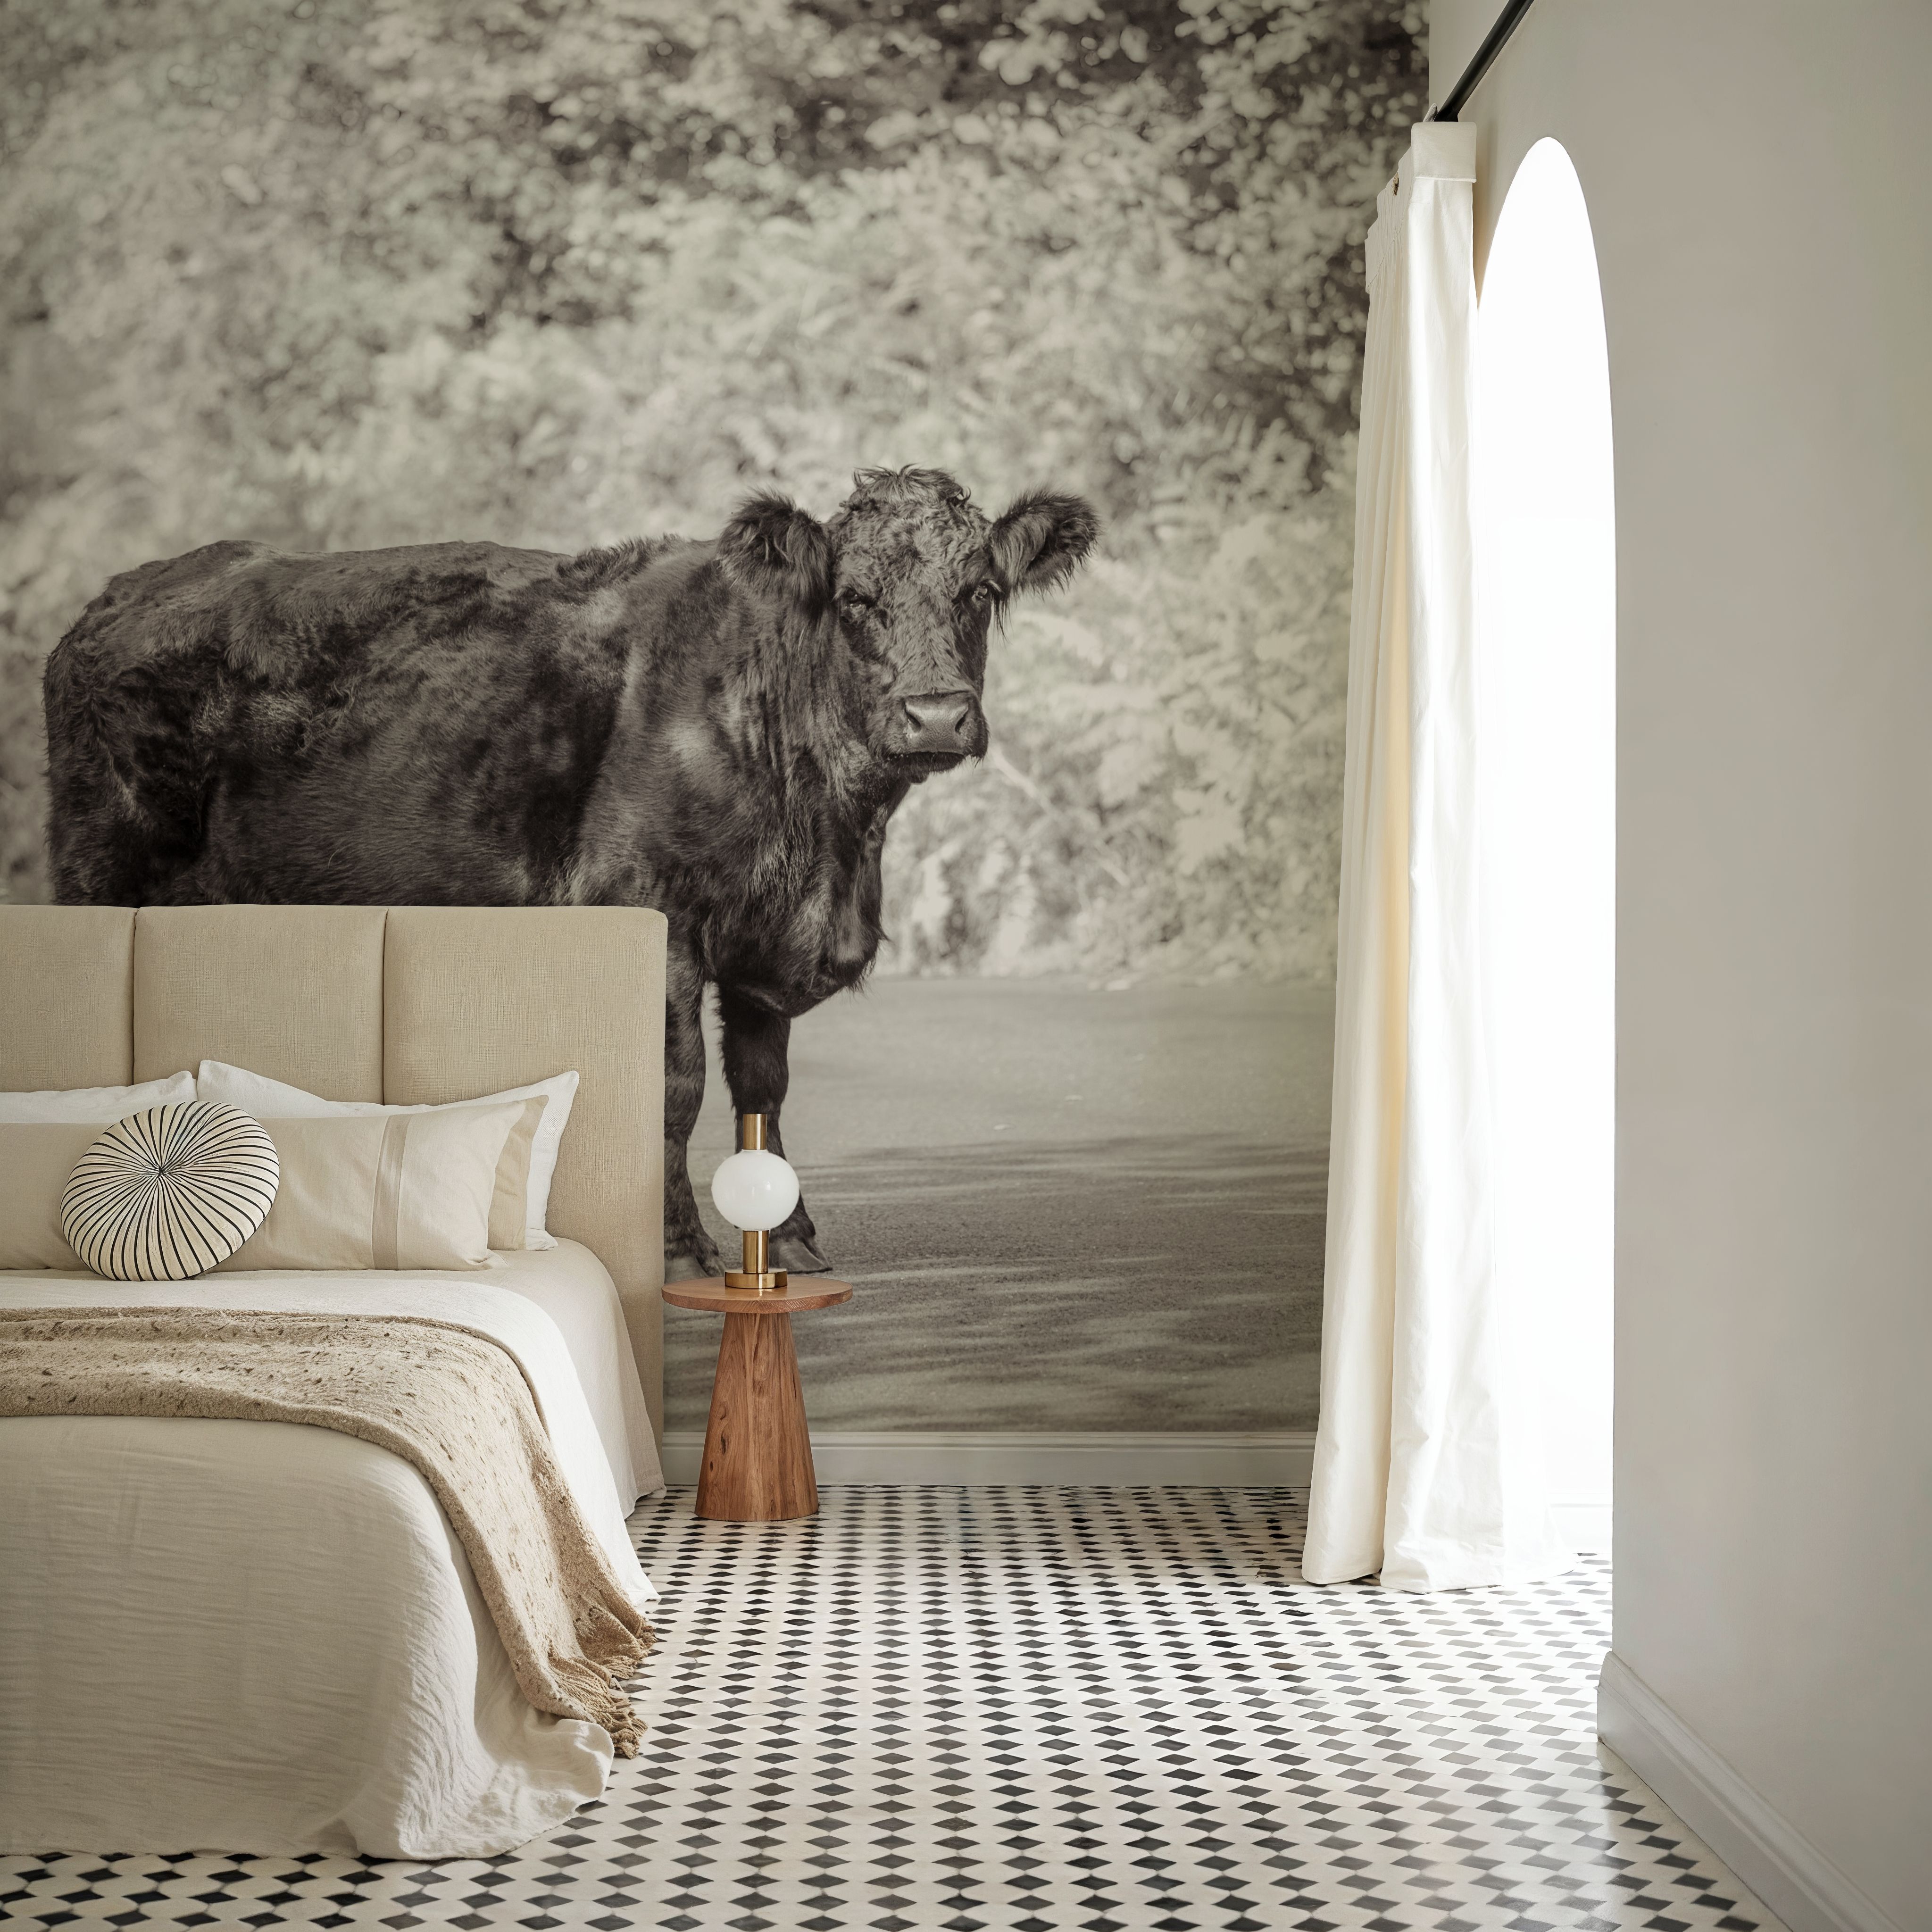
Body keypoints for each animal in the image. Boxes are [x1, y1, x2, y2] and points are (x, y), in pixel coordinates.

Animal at [42, 466, 1099, 1279]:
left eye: (976, 593)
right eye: (856, 600)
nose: (935, 714)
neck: (826, 837)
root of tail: (121, 596)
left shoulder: (766, 948)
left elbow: (762, 1087)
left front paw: (789, 1234)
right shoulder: (652, 919)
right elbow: (674, 1088)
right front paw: (676, 1250)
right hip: (101, 877)